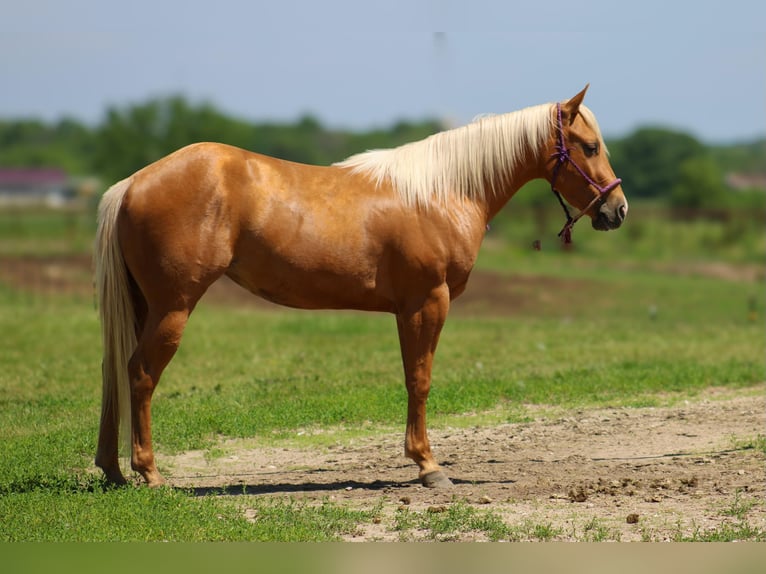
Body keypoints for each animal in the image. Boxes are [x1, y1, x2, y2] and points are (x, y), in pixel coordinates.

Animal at [93, 86, 628, 490]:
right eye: (589, 146)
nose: (617, 209)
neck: (442, 191)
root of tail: (133, 183)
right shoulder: (427, 303)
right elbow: (420, 380)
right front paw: (428, 466)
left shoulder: (407, 309)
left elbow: (412, 377)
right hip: (173, 307)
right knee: (140, 374)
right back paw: (149, 473)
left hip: (144, 306)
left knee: (113, 374)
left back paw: (113, 470)